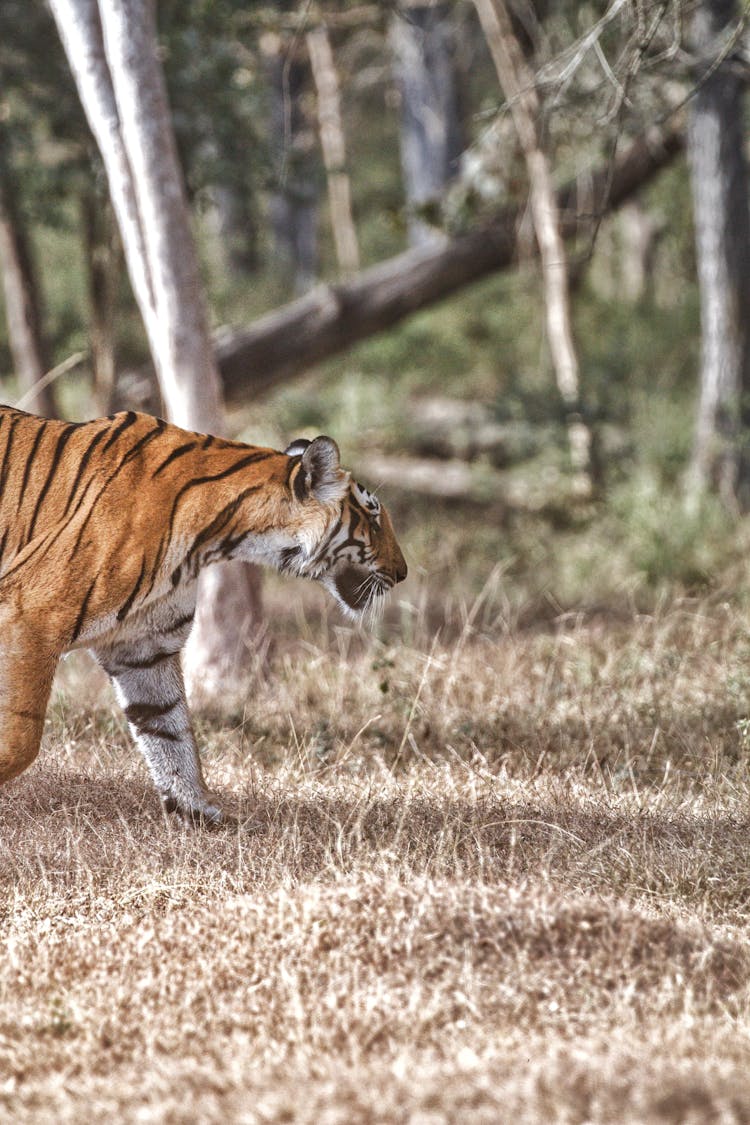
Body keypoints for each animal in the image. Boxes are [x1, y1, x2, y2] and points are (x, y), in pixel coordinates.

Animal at [0, 405, 407, 828]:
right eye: (374, 519)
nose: (404, 572)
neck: (219, 538)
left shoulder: (143, 647)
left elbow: (170, 732)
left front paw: (198, 812)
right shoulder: (32, 614)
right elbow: (22, 738)